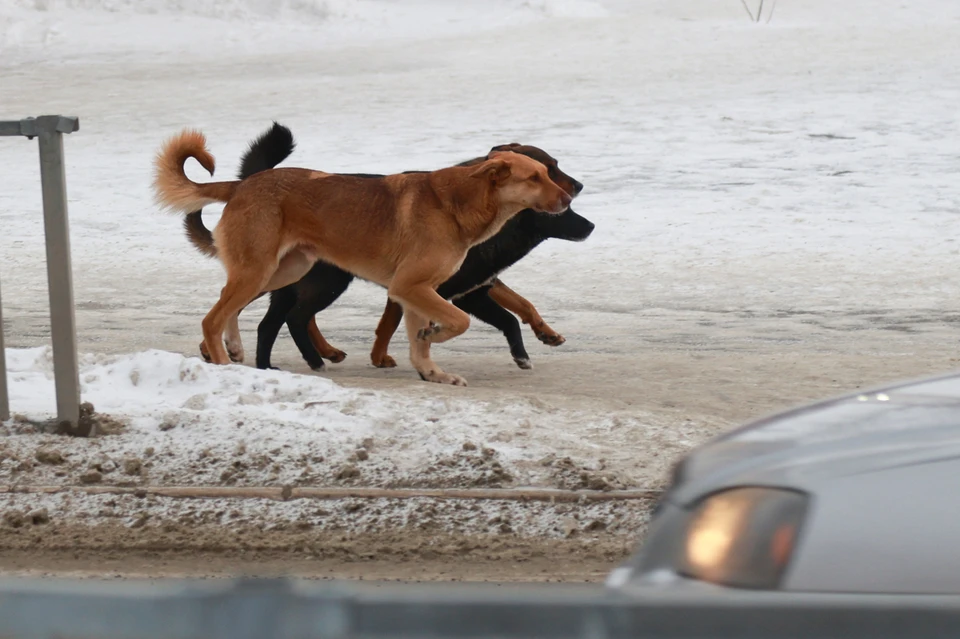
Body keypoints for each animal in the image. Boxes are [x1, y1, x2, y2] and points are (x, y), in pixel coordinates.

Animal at [150, 130, 568, 384]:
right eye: (535, 178)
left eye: (548, 173)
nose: (569, 197)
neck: (458, 203)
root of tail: (240, 186)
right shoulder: (411, 287)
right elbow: (458, 322)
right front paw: (435, 335)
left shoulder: (416, 292)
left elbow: (420, 346)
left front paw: (433, 373)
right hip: (260, 269)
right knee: (213, 317)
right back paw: (224, 362)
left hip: (281, 271)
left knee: (229, 306)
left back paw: (234, 347)